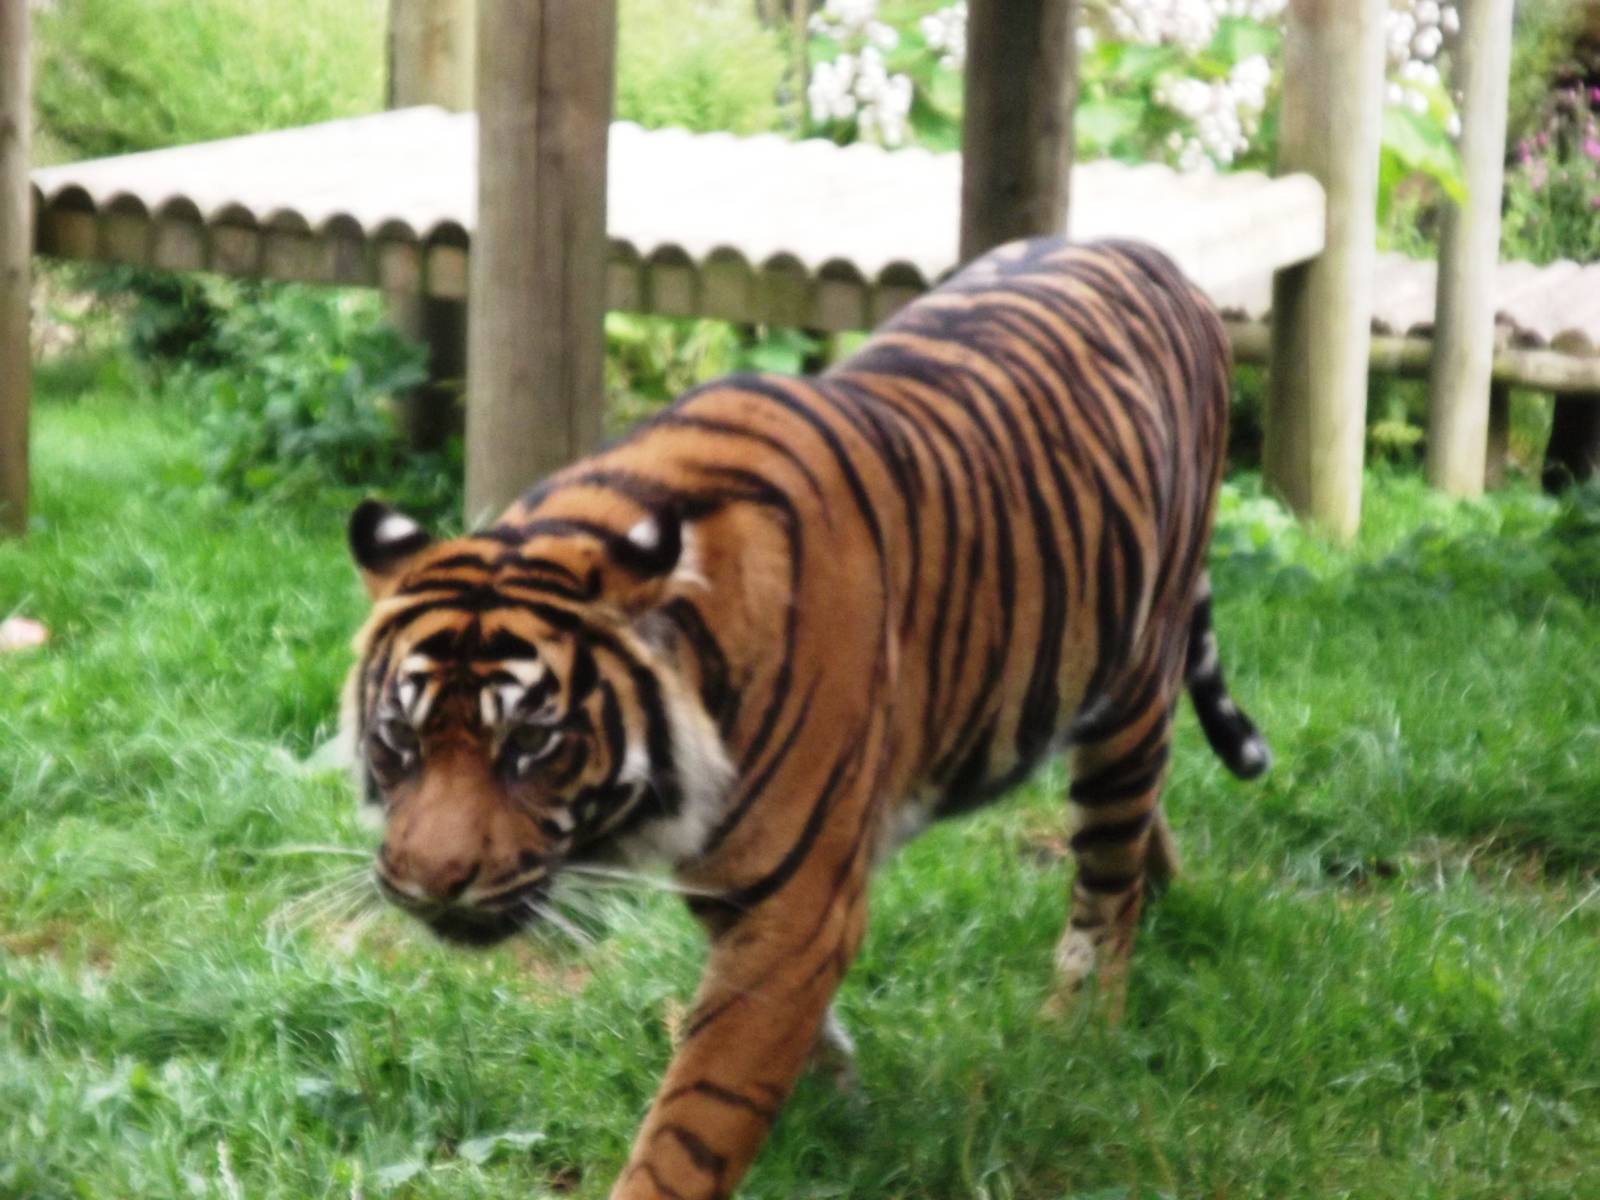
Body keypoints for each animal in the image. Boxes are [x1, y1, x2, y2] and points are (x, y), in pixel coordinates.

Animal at [343, 237, 1270, 1199]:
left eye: (530, 743)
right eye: (399, 739)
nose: (428, 883)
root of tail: (1150, 255)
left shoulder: (796, 904)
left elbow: (700, 1110)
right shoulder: (736, 881)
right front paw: (832, 1100)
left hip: (1136, 679)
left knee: (1106, 874)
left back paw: (1080, 1028)